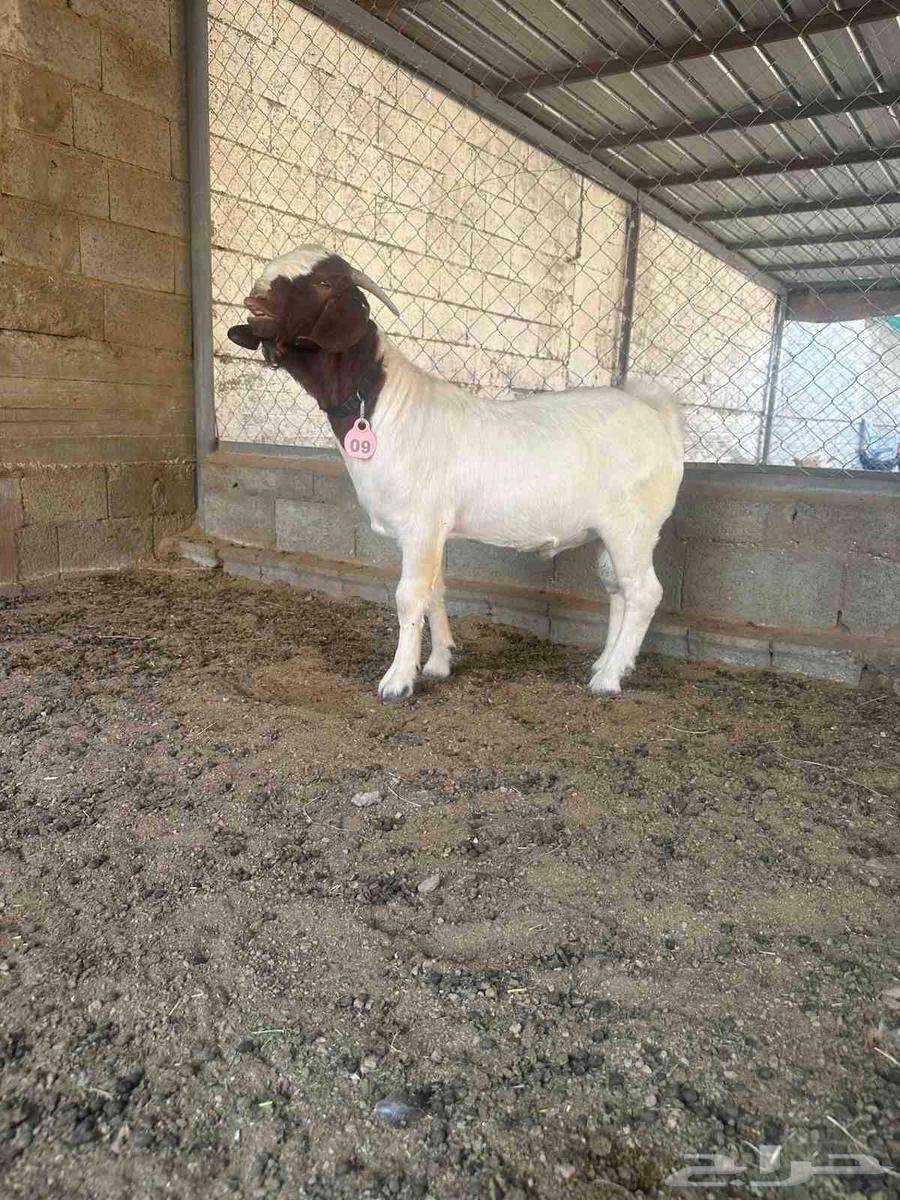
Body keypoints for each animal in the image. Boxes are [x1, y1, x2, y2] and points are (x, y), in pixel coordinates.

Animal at [228, 245, 684, 701]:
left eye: (324, 282)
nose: (254, 302)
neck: (385, 405)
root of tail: (655, 411)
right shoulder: (435, 530)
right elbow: (435, 591)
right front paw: (438, 663)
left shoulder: (420, 524)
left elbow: (409, 596)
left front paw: (397, 680)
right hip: (610, 530)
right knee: (618, 589)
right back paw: (607, 663)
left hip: (633, 526)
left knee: (645, 592)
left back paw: (609, 680)